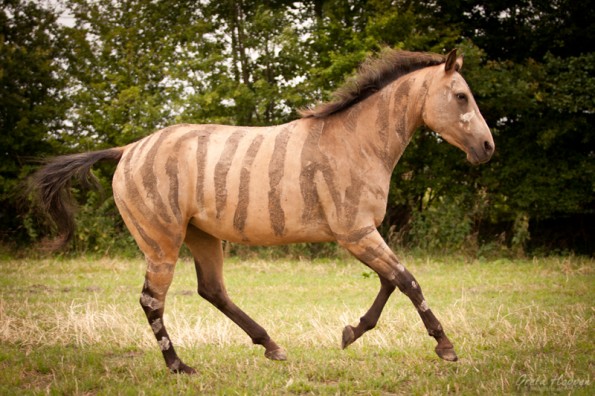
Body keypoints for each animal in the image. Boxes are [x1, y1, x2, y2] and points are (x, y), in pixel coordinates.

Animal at [30, 48, 494, 372]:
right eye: (461, 96)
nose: (488, 148)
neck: (356, 142)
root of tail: (127, 149)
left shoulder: (360, 234)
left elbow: (390, 282)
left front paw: (351, 332)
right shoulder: (356, 233)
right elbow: (407, 280)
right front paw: (445, 346)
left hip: (201, 236)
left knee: (212, 290)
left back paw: (271, 346)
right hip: (162, 243)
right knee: (152, 300)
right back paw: (179, 366)